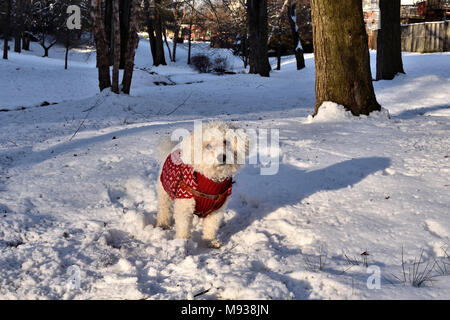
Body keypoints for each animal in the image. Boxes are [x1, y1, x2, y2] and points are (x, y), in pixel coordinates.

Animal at [155, 121, 246, 249]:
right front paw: (183, 242)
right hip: (164, 192)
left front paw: (210, 241)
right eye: (208, 146)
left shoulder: (216, 210)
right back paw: (163, 224)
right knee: (164, 209)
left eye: (226, 141)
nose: (222, 157)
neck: (211, 180)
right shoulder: (184, 206)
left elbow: (210, 227)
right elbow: (183, 225)